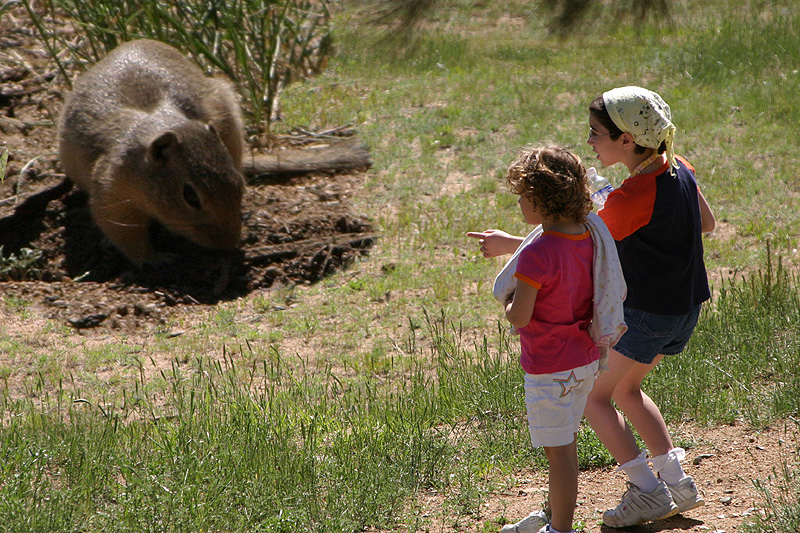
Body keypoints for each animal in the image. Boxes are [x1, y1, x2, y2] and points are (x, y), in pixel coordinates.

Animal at [58, 40, 245, 264]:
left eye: (239, 184)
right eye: (191, 197)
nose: (229, 243)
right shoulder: (112, 192)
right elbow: (128, 237)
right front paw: (157, 258)